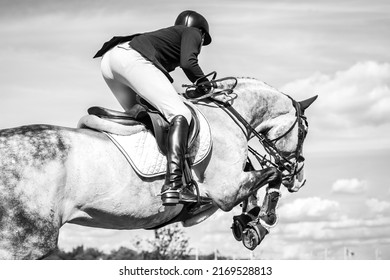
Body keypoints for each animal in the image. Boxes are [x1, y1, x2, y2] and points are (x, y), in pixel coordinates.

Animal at [0, 77, 316, 260]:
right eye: (303, 131)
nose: (300, 178)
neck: (228, 118)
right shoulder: (226, 191)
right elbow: (272, 175)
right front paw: (261, 222)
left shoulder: (230, 189)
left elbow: (257, 185)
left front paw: (247, 223)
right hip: (25, 245)